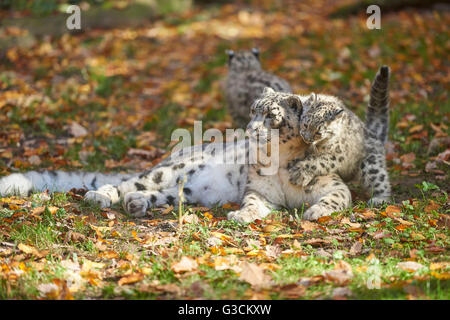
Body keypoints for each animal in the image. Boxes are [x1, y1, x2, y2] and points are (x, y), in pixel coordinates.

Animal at [0, 87, 352, 222]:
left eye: (271, 116)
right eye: (253, 110)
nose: (249, 128)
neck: (277, 163)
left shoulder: (330, 183)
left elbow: (338, 197)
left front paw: (315, 211)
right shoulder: (260, 191)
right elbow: (253, 203)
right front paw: (243, 215)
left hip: (191, 191)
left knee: (161, 194)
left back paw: (137, 204)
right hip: (170, 169)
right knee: (127, 183)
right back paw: (100, 197)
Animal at [288, 65, 390, 205]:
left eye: (318, 132)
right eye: (305, 125)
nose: (306, 139)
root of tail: (372, 133)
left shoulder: (338, 155)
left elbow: (319, 161)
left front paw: (299, 173)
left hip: (371, 164)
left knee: (381, 180)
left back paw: (379, 199)